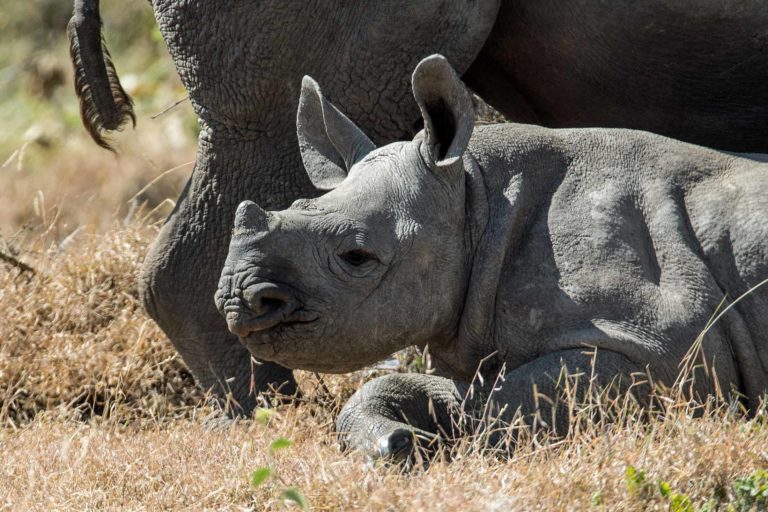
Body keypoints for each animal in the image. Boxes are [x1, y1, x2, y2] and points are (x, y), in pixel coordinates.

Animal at [67, 0, 768, 412]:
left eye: (357, 257)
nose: (241, 300)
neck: (479, 200)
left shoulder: (662, 349)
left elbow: (497, 404)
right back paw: (271, 425)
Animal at [213, 55, 768, 460]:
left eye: (356, 256)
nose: (236, 300)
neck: (475, 199)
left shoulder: (661, 349)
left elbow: (506, 404)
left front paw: (427, 446)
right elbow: (449, 391)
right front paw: (398, 442)